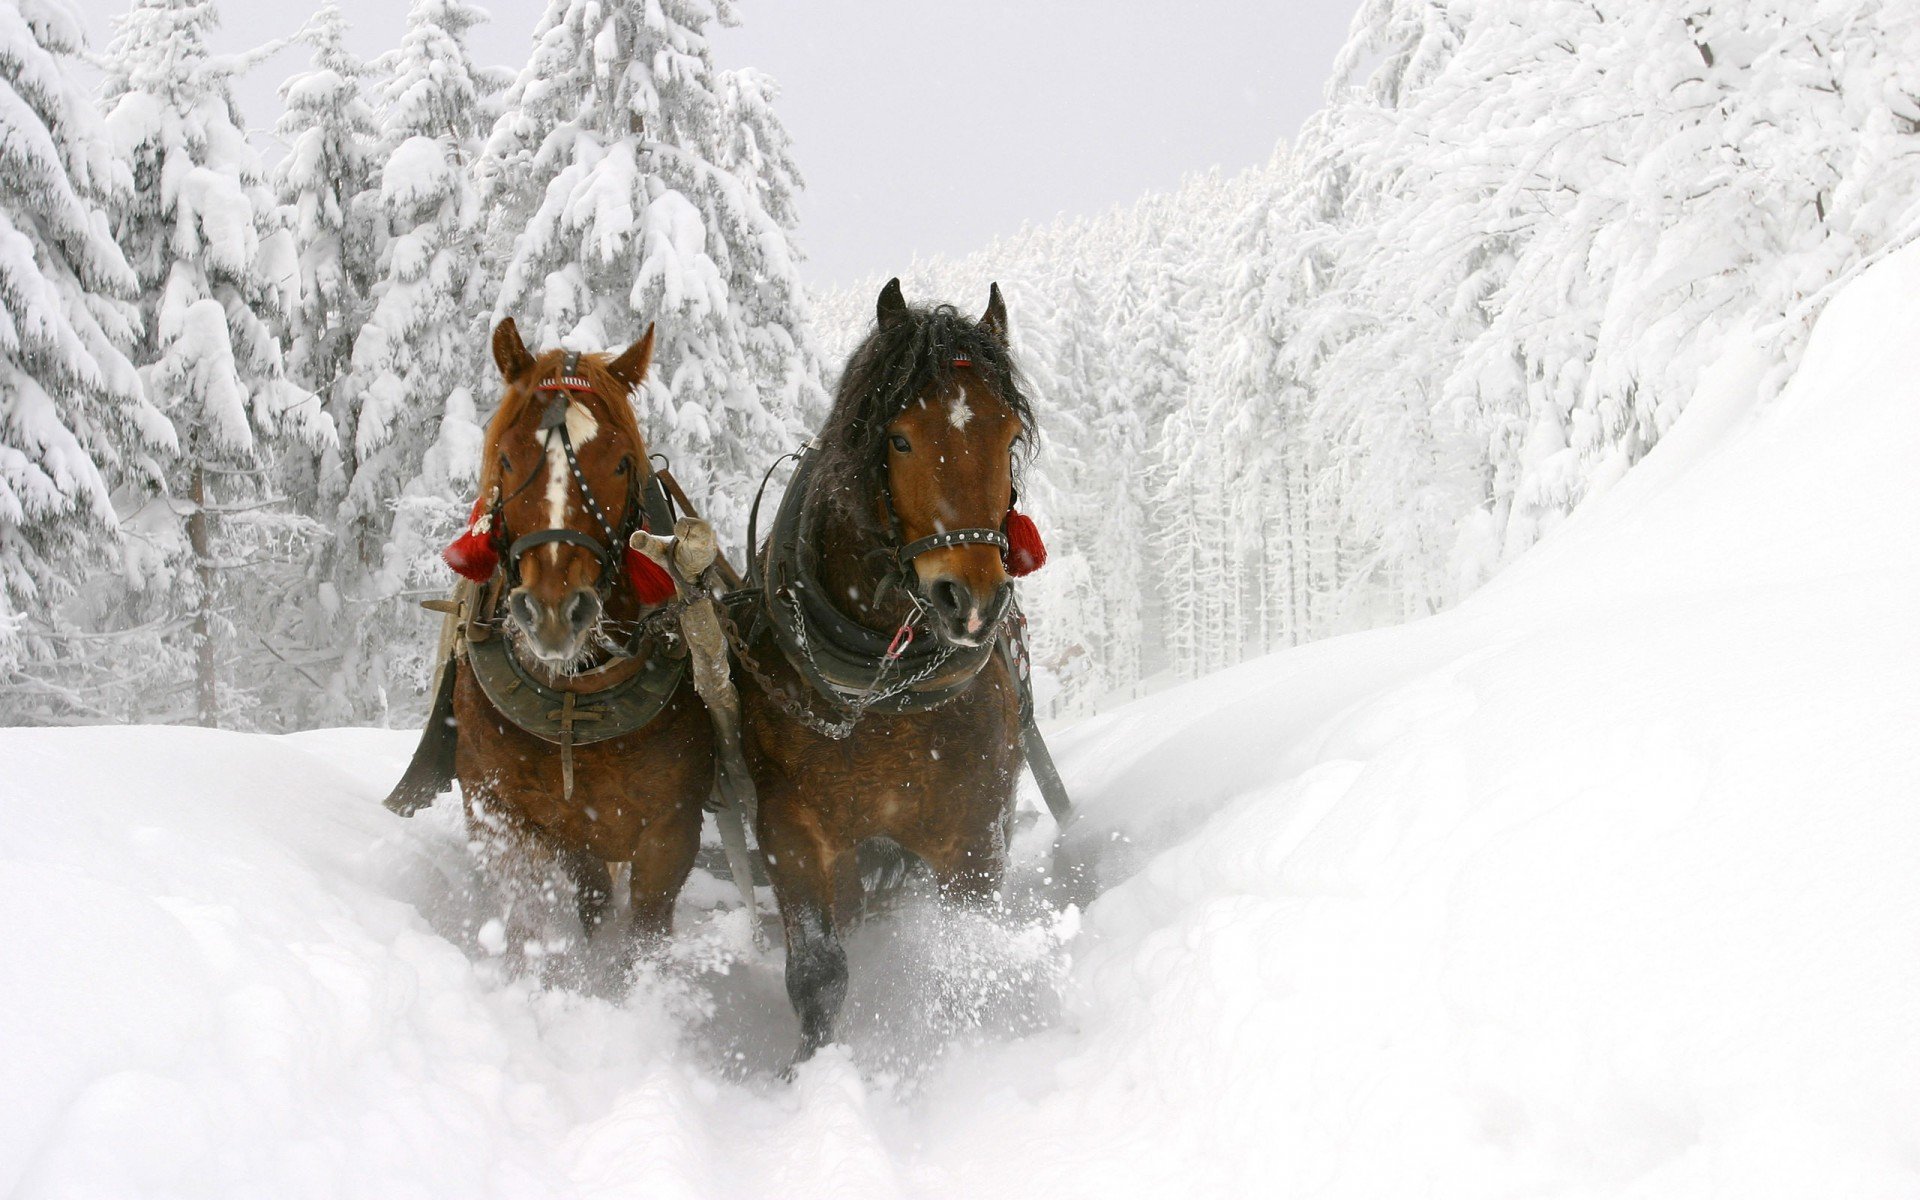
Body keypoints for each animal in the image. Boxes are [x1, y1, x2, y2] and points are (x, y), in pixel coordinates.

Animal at [385, 318, 715, 974]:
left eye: (621, 463)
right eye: (509, 457)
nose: (556, 613)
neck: (574, 700)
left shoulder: (670, 832)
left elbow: (642, 938)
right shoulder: (503, 817)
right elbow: (527, 925)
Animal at [736, 278, 1046, 1063]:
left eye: (1008, 436)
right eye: (900, 437)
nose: (971, 599)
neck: (883, 694)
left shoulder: (975, 833)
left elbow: (964, 960)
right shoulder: (790, 829)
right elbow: (818, 974)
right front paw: (808, 1073)